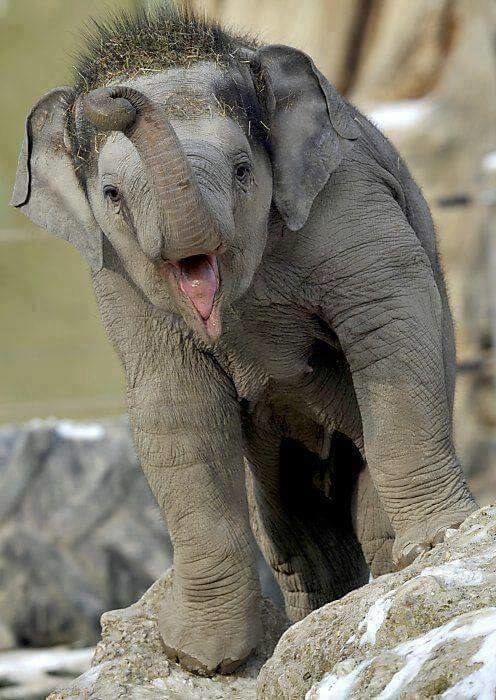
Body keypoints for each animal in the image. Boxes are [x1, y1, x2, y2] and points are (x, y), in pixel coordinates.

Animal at [12, 5, 476, 676]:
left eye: (241, 170)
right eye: (112, 195)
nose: (111, 98)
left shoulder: (347, 195)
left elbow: (389, 319)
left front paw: (439, 542)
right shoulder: (114, 273)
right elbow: (175, 404)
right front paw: (200, 656)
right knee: (294, 536)